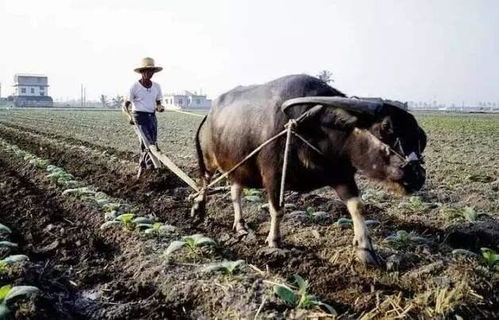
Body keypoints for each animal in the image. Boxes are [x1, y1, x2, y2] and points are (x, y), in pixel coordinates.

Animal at [190, 75, 426, 264]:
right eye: (386, 128)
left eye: (420, 138)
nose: (417, 176)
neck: (315, 128)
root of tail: (210, 114)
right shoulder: (273, 176)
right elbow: (277, 209)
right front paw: (274, 241)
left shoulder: (341, 175)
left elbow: (357, 206)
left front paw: (365, 248)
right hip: (210, 160)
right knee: (205, 182)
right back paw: (198, 208)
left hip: (238, 168)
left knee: (235, 192)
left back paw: (240, 225)